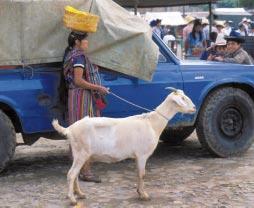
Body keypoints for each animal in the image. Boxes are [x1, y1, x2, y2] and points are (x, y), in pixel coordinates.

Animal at [51, 88, 194, 205]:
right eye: (182, 98)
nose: (194, 108)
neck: (152, 123)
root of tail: (69, 129)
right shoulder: (142, 154)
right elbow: (142, 174)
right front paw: (144, 195)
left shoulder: (137, 156)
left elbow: (138, 173)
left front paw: (139, 192)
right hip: (81, 152)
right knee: (71, 174)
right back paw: (72, 199)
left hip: (78, 153)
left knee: (75, 174)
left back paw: (80, 194)